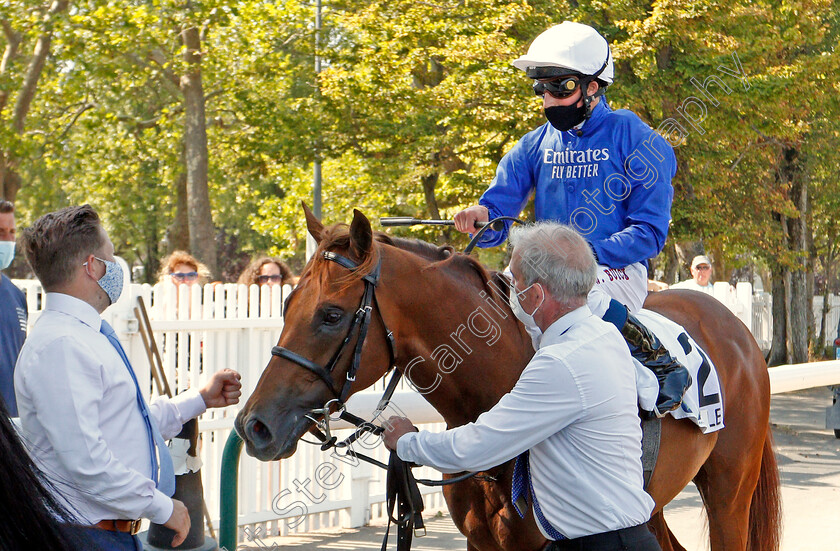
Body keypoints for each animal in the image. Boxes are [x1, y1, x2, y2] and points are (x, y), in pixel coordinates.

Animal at [235, 208, 780, 551]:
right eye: (286, 304)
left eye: (330, 315)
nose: (253, 426)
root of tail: (734, 326)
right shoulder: (482, 544)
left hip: (730, 491)